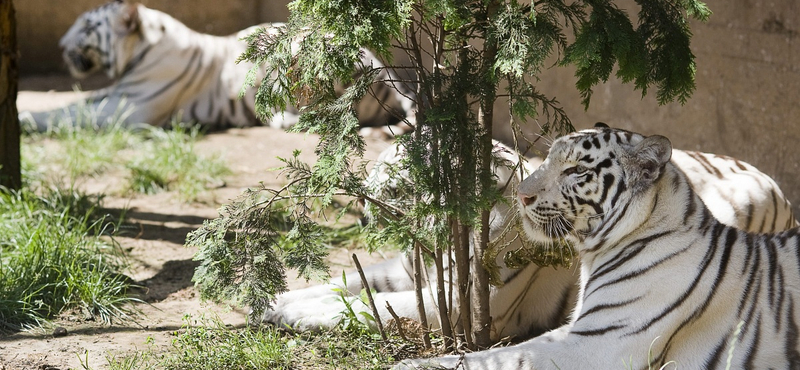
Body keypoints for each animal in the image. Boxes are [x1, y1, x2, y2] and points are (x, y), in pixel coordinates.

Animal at [20, 0, 412, 134]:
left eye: (87, 27)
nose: (60, 45)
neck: (137, 52)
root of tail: (384, 71)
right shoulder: (112, 94)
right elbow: (70, 104)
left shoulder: (129, 109)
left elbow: (67, 115)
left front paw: (24, 120)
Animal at [260, 125, 792, 346]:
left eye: (396, 181)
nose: (366, 212)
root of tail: (777, 186)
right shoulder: (407, 269)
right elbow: (348, 283)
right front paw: (275, 301)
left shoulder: (465, 304)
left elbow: (370, 305)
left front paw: (292, 314)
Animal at [396, 125, 800, 368]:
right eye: (549, 159)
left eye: (576, 171)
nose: (521, 195)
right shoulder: (577, 330)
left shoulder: (593, 345)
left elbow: (503, 359)